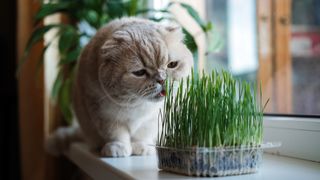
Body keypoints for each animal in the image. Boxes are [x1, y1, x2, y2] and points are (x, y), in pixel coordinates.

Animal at [45, 17, 192, 157]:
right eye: (139, 72)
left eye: (172, 64)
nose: (162, 80)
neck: (137, 105)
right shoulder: (103, 113)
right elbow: (116, 134)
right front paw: (118, 148)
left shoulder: (152, 119)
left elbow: (142, 135)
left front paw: (141, 147)